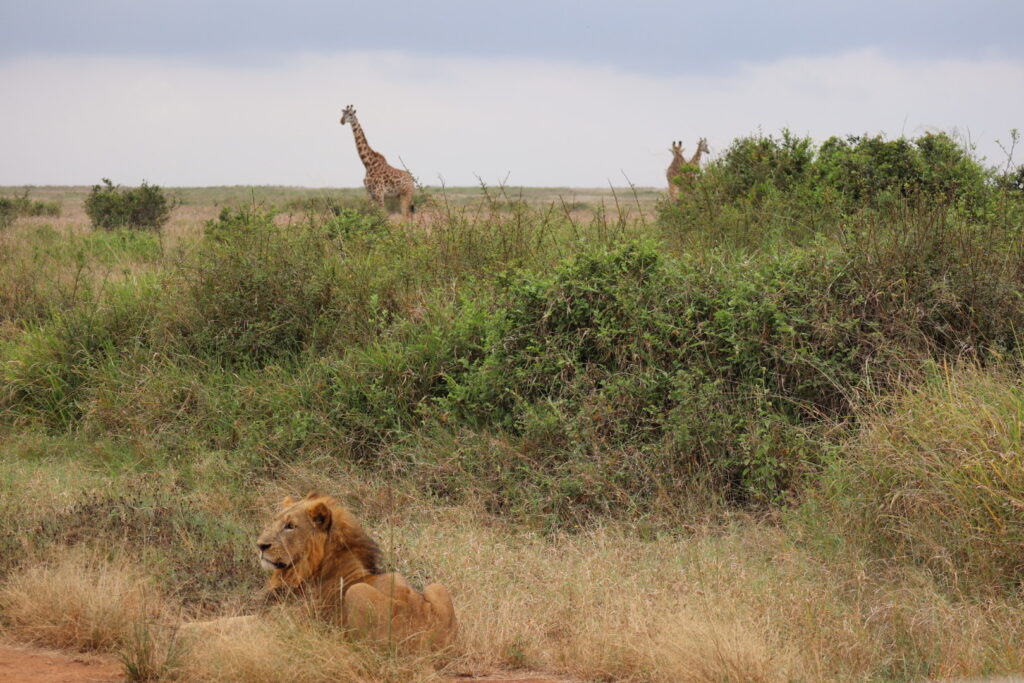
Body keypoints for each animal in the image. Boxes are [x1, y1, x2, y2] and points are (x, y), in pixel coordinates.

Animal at [253, 491, 458, 651]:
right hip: (436, 587)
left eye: (290, 526)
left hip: (357, 592)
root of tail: (429, 637)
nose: (260, 545)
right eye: (274, 522)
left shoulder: (288, 620)